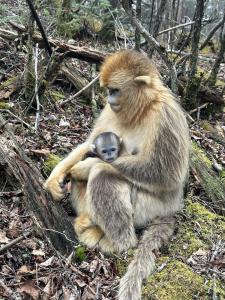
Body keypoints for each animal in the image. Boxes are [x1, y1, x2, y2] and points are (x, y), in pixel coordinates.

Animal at [43, 50, 188, 298]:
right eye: (108, 91)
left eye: (115, 90)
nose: (110, 100)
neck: (143, 110)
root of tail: (170, 210)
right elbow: (88, 144)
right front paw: (55, 177)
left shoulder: (165, 117)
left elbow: (166, 175)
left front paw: (87, 166)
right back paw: (88, 221)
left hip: (148, 208)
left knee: (103, 174)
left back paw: (118, 242)